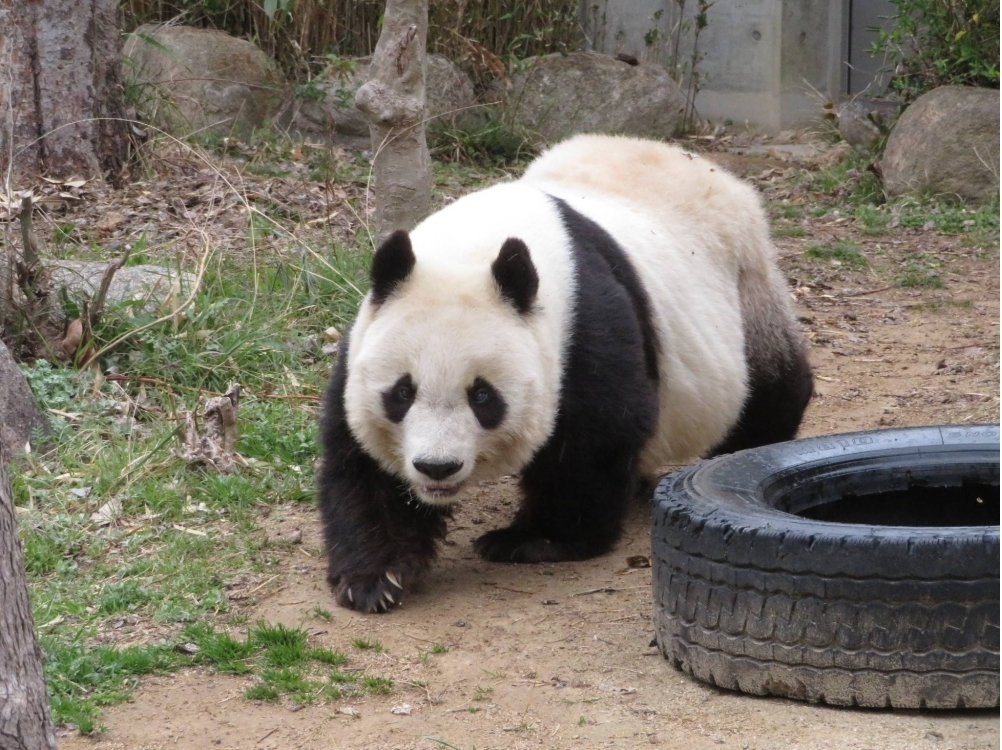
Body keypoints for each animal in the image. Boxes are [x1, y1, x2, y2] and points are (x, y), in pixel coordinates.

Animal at [317, 134, 813, 613]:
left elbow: (591, 438)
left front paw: (534, 540)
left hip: (747, 289)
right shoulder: (365, 338)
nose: (437, 467)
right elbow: (361, 462)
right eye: (402, 393)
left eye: (483, 396)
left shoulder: (584, 324)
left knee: (771, 388)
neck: (473, 248)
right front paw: (374, 578)